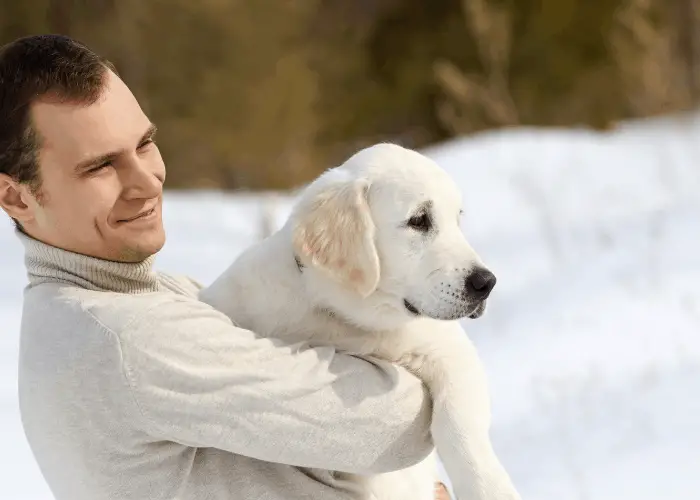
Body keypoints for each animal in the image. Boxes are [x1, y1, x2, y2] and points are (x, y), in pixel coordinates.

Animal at [200, 142, 524, 500]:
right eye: (419, 221)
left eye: (457, 220)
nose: (486, 283)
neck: (349, 318)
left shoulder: (447, 348)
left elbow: (460, 425)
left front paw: (489, 488)